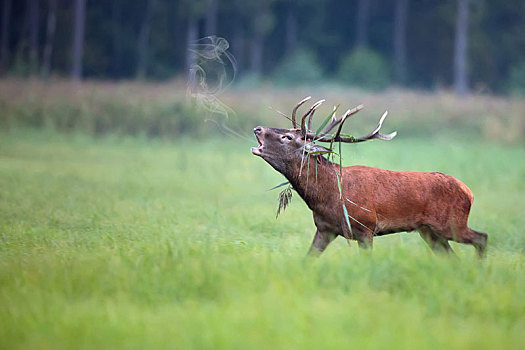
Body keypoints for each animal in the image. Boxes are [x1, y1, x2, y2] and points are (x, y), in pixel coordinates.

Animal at [251, 97, 488, 258]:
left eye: (287, 137)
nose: (257, 128)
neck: (328, 196)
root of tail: (469, 192)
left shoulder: (365, 227)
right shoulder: (325, 228)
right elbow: (308, 259)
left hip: (451, 223)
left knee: (482, 237)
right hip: (429, 231)